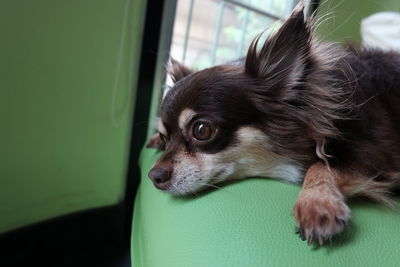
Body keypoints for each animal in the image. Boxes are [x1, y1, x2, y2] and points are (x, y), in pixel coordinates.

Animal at [145, 2, 400, 246]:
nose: (153, 176)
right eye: (166, 136)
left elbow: (320, 164)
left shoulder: (373, 157)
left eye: (201, 130)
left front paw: (316, 203)